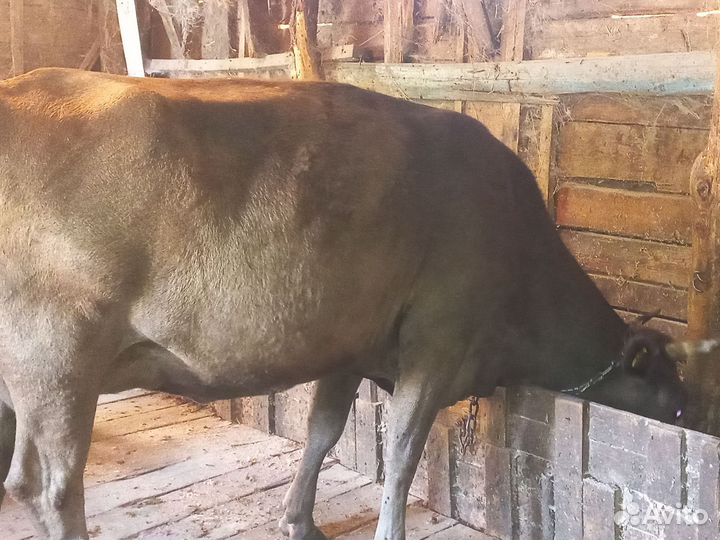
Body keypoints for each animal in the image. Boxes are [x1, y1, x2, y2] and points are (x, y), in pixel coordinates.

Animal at [0, 68, 713, 540]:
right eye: (676, 402)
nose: (695, 410)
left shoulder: (348, 346)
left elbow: (323, 433)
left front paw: (299, 519)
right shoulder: (438, 342)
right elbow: (399, 458)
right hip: (58, 357)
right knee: (52, 487)